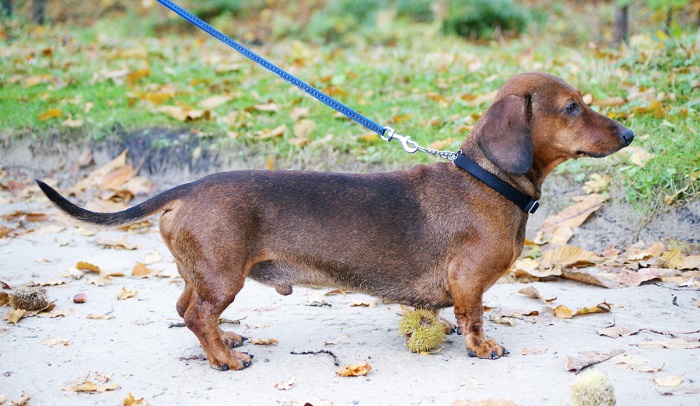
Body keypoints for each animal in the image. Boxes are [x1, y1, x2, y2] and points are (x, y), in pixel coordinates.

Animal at [35, 73, 632, 372]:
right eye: (573, 107)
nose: (629, 134)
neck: (487, 182)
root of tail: (190, 187)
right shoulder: (468, 282)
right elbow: (474, 317)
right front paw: (482, 349)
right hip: (223, 277)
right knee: (199, 316)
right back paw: (227, 358)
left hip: (203, 272)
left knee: (186, 310)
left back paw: (227, 342)